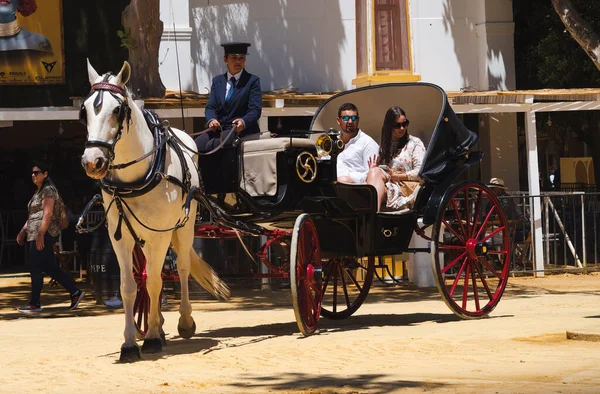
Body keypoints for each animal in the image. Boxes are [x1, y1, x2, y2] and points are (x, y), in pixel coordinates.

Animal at [79, 60, 230, 362]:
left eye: (117, 110)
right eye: (85, 110)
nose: (93, 161)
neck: (137, 176)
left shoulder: (160, 234)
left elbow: (155, 283)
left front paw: (149, 339)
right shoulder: (120, 237)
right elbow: (130, 286)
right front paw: (130, 342)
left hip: (183, 227)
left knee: (181, 268)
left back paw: (183, 322)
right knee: (150, 274)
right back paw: (157, 325)